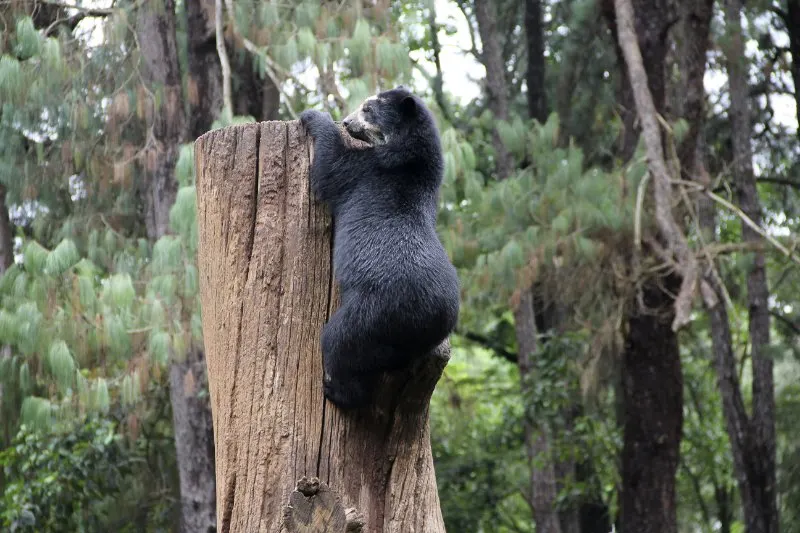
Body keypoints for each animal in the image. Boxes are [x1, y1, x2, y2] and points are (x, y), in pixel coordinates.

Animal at [300, 86, 462, 408]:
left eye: (368, 109)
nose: (347, 122)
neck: (410, 158)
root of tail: (439, 317)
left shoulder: (366, 171)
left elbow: (329, 167)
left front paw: (313, 116)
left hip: (374, 313)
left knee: (339, 343)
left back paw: (336, 392)